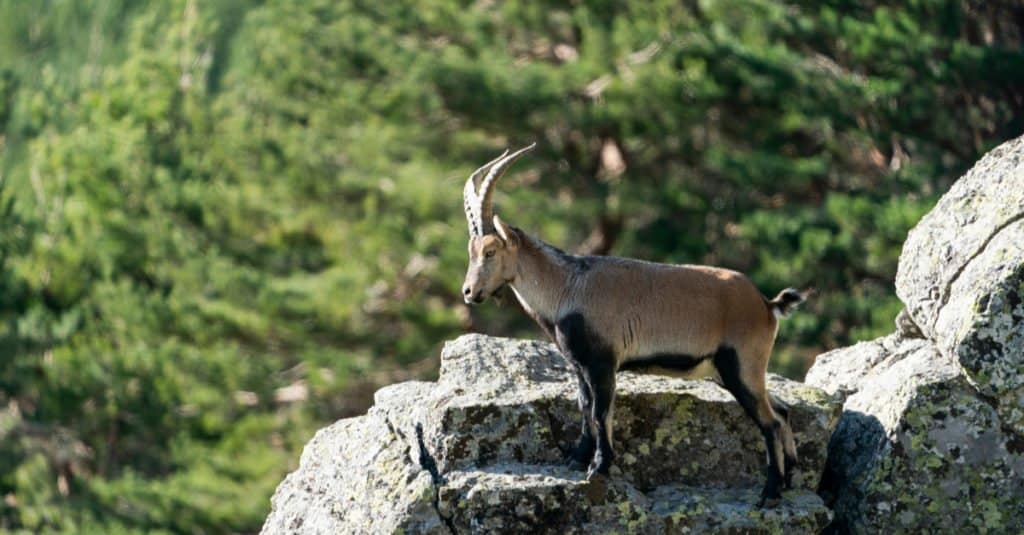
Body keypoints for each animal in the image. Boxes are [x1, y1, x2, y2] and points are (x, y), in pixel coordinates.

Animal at [462, 141, 806, 504]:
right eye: (472, 250)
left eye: (490, 251)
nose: (469, 292)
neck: (567, 286)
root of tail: (766, 305)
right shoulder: (581, 366)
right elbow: (585, 407)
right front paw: (577, 458)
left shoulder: (603, 362)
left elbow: (601, 412)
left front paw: (599, 467)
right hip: (731, 373)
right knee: (782, 411)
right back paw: (788, 480)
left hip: (741, 366)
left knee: (770, 422)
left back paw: (769, 492)